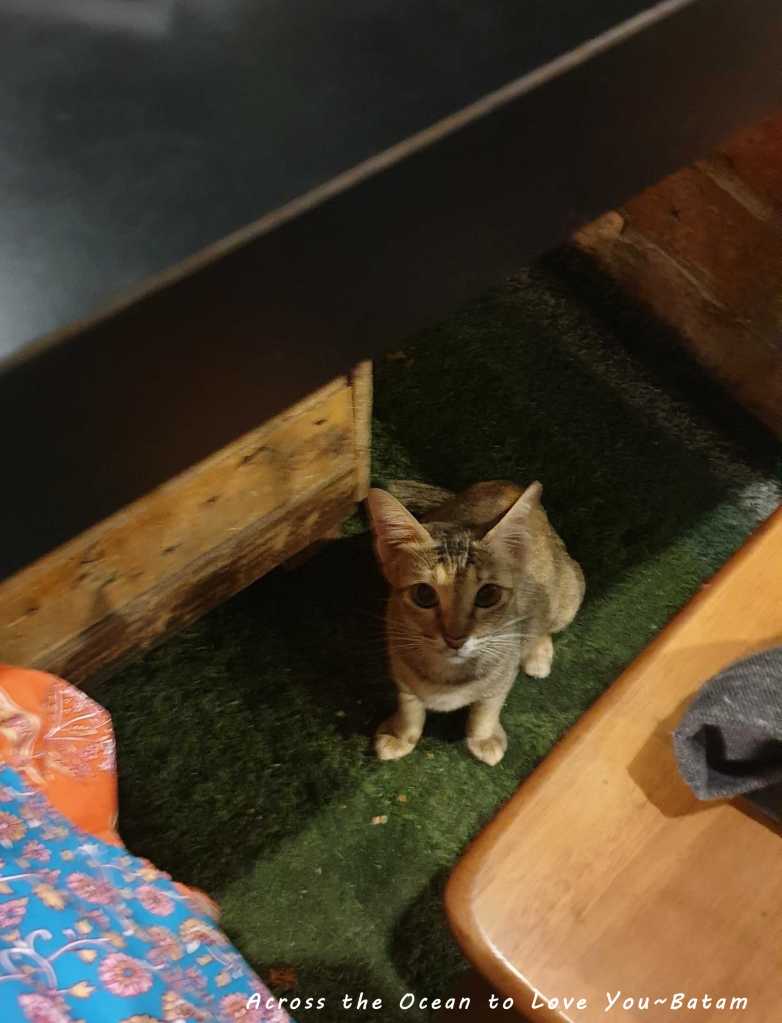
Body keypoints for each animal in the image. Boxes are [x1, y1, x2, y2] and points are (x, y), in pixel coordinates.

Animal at [366, 480, 584, 765]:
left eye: (488, 595)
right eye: (423, 595)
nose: (455, 638)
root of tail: (508, 483)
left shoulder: (503, 675)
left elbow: (486, 709)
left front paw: (484, 738)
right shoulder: (403, 677)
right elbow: (410, 709)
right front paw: (400, 735)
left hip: (569, 593)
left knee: (545, 624)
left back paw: (538, 653)